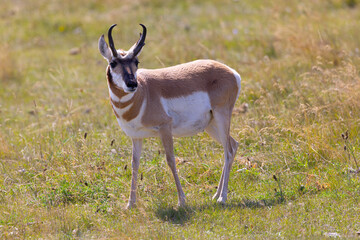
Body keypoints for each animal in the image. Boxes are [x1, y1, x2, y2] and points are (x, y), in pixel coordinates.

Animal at [97, 23, 242, 208]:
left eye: (136, 61)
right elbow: (134, 164)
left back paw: (222, 198)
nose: (132, 84)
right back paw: (216, 195)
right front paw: (130, 204)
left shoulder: (165, 128)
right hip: (211, 125)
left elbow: (170, 159)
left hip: (221, 116)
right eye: (113, 62)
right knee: (233, 144)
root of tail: (231, 72)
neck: (143, 93)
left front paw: (181, 201)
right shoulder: (136, 136)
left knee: (228, 150)